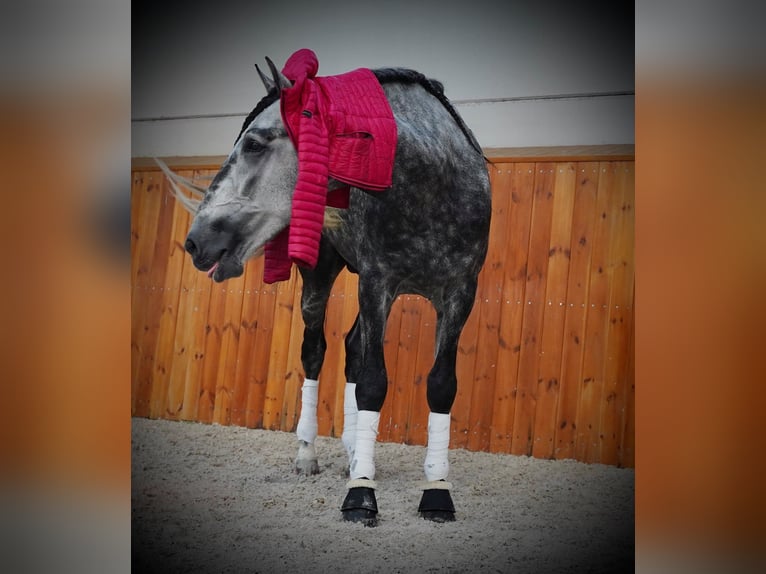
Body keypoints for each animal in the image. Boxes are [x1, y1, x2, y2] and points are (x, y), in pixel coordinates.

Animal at [167, 52, 491, 526]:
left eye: (255, 144)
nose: (195, 242)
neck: (433, 186)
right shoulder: (377, 282)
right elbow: (373, 381)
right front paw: (361, 495)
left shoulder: (459, 293)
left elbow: (441, 385)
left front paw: (436, 492)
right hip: (320, 277)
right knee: (315, 352)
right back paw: (308, 455)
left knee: (352, 346)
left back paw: (355, 451)